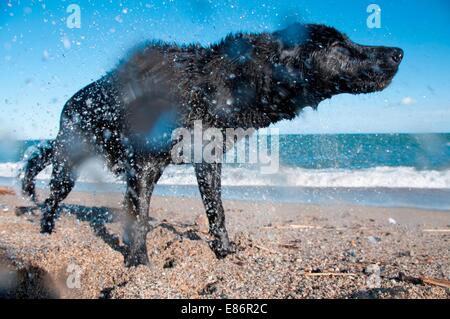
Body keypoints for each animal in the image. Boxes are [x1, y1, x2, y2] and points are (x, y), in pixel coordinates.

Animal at [20, 23, 404, 266]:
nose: (398, 52)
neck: (216, 85)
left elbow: (216, 211)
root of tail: (70, 102)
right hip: (68, 165)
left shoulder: (207, 161)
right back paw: (46, 233)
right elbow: (141, 218)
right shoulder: (144, 166)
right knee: (51, 199)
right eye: (338, 46)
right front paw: (139, 264)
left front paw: (224, 252)